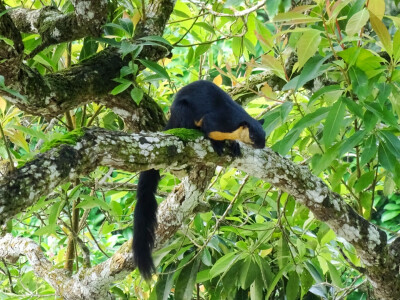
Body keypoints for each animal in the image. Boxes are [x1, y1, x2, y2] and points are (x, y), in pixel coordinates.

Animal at [134, 79, 266, 278]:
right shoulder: (216, 122)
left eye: (264, 134)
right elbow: (208, 131)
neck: (234, 123)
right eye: (252, 135)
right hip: (183, 111)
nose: (262, 145)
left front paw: (234, 145)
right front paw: (217, 144)